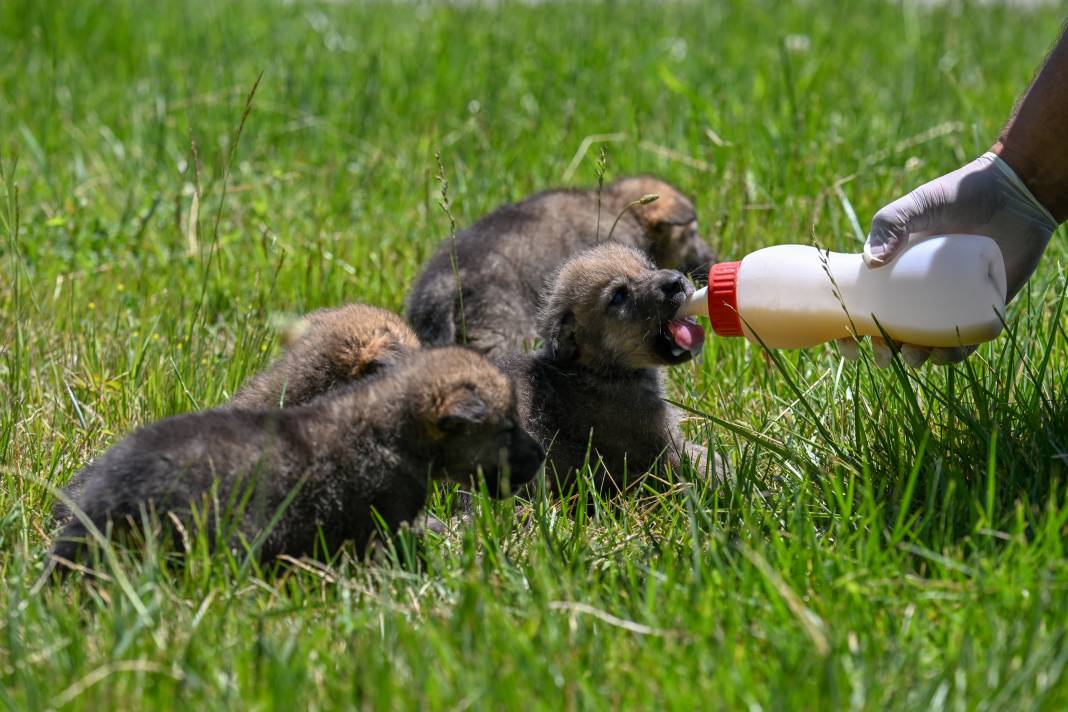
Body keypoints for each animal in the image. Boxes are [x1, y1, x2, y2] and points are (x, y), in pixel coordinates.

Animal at [493, 242, 717, 499]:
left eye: (649, 267)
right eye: (618, 296)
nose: (676, 281)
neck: (599, 372)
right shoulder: (663, 450)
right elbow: (705, 464)